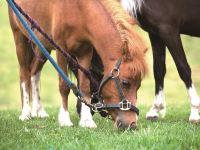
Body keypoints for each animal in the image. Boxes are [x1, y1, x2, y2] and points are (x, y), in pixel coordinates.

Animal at [8, 0, 147, 129]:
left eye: (139, 86)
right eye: (125, 83)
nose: (132, 124)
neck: (78, 10)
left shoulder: (85, 52)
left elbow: (85, 86)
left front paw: (86, 121)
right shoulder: (61, 50)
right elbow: (64, 86)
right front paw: (64, 119)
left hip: (42, 44)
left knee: (34, 73)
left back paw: (39, 111)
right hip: (19, 37)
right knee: (24, 75)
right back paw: (26, 113)